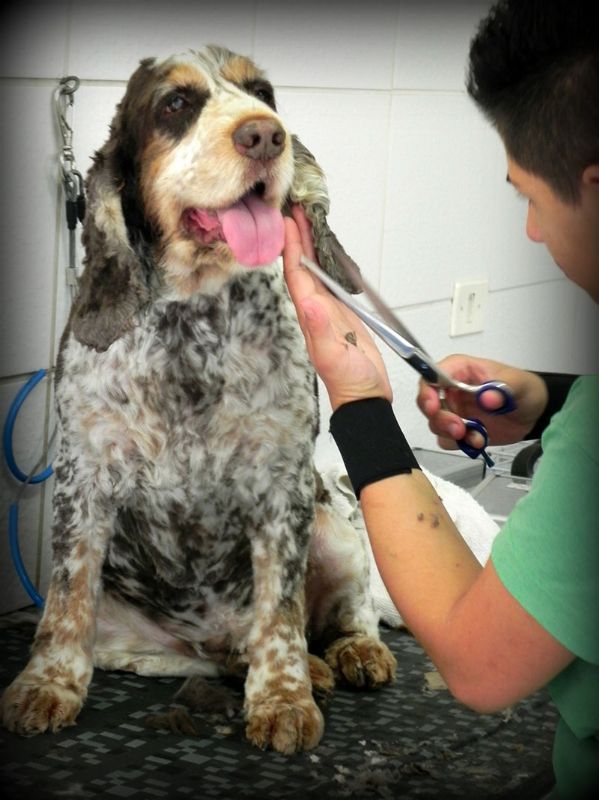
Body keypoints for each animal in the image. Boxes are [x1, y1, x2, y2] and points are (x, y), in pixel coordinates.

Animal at [1, 45, 396, 754]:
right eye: (176, 105)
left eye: (264, 94)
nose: (266, 135)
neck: (192, 321)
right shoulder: (83, 479)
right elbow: (66, 601)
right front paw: (45, 687)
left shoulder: (283, 485)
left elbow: (281, 609)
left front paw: (284, 698)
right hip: (139, 639)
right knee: (208, 652)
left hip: (335, 531)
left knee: (343, 615)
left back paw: (346, 655)